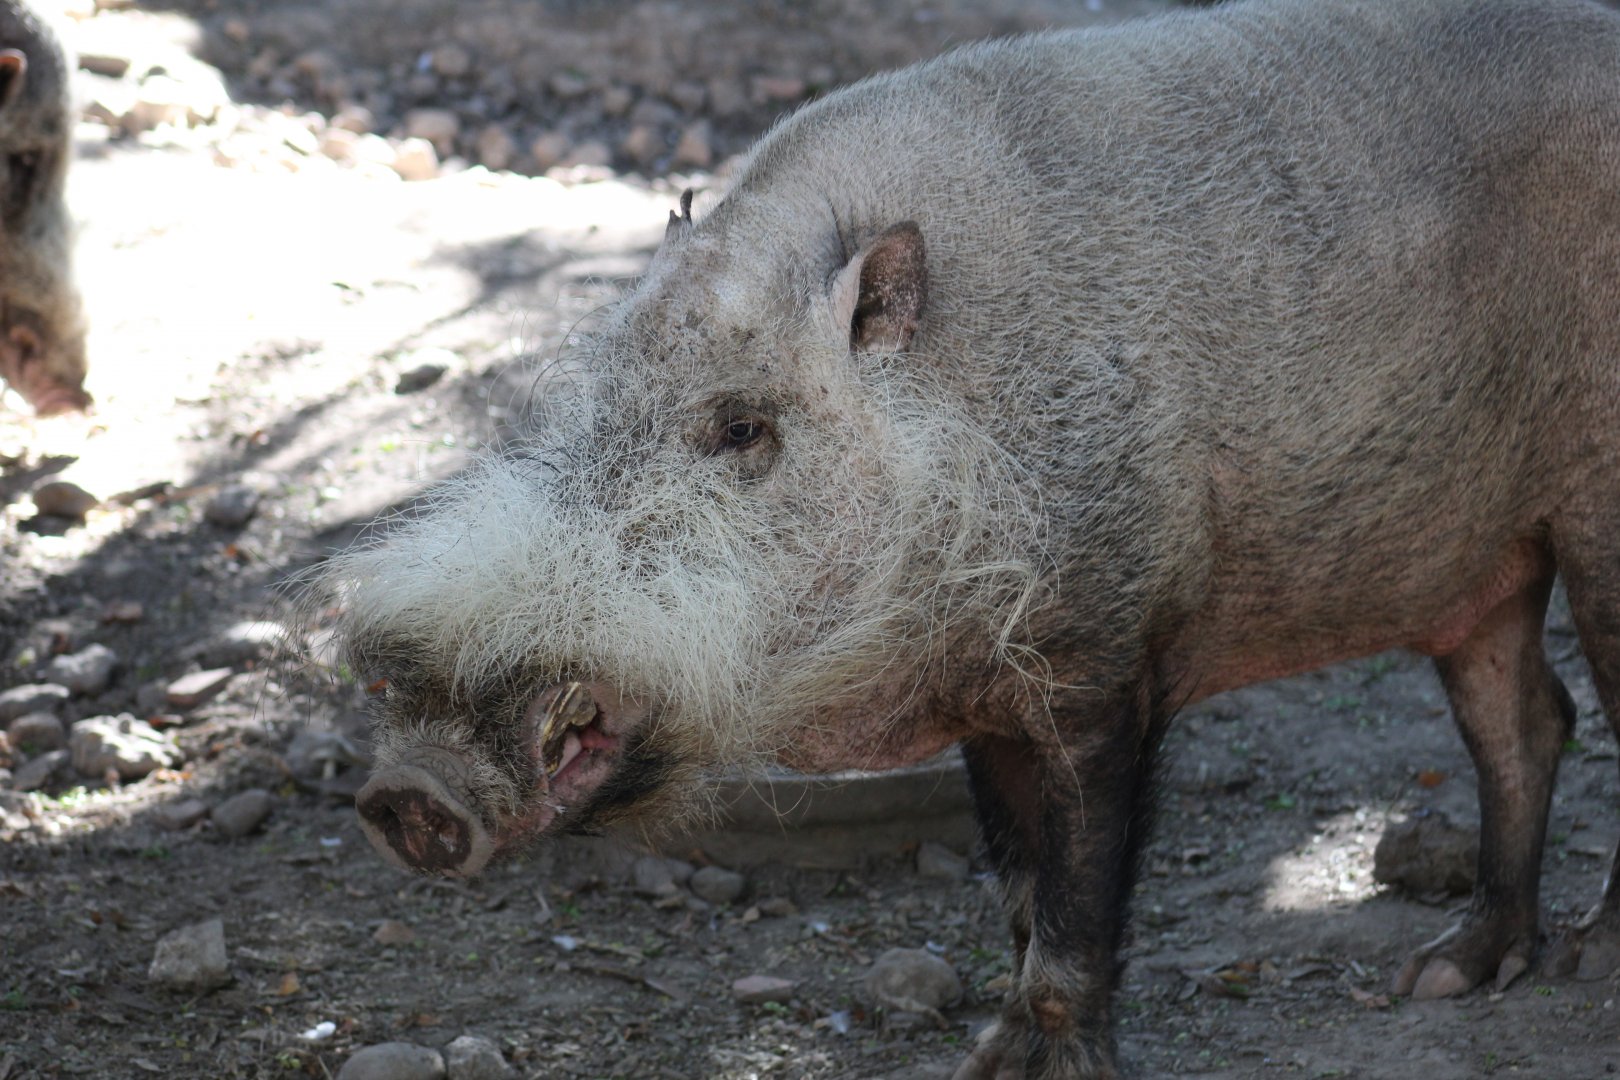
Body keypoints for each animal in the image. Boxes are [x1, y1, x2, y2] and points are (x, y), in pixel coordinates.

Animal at [317, 0, 1620, 1076]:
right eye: (584, 406)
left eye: (742, 428)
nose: (403, 792)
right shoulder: (982, 701)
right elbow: (1019, 893)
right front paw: (987, 1060)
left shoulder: (1105, 653)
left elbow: (1083, 892)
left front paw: (1051, 1064)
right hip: (1484, 564)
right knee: (1526, 720)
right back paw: (1443, 975)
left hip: (1596, 515)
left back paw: (1581, 962)